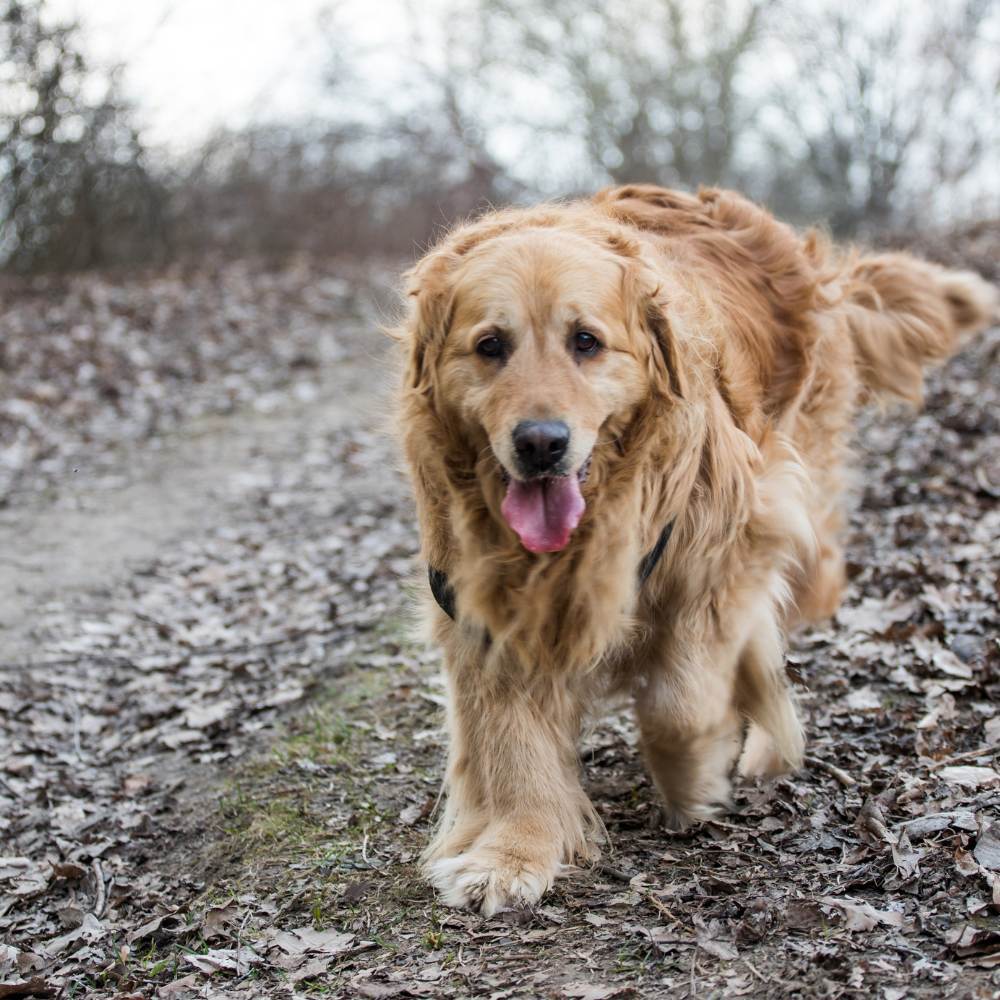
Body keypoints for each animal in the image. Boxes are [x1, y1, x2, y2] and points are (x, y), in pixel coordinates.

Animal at [394, 182, 996, 916]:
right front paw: (513, 853)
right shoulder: (485, 600)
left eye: (585, 342)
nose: (541, 442)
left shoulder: (730, 546)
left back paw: (764, 747)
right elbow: (513, 747)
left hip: (796, 504)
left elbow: (678, 705)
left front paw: (695, 781)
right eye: (490, 346)